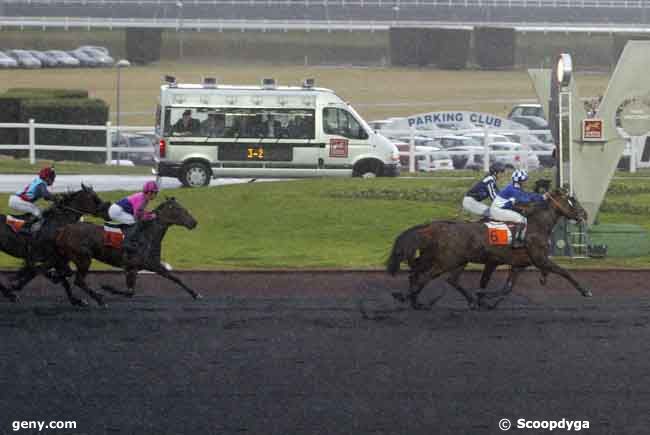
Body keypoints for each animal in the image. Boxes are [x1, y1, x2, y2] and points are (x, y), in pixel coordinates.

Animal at [51, 198, 200, 306]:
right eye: (179, 209)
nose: (194, 223)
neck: (146, 235)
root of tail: (64, 229)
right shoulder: (132, 266)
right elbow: (129, 292)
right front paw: (107, 287)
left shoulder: (152, 265)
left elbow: (175, 278)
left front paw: (196, 294)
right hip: (83, 259)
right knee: (78, 281)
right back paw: (99, 299)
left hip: (66, 257)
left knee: (64, 276)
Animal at [388, 189, 588, 312]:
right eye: (572, 201)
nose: (584, 214)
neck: (536, 225)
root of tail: (433, 226)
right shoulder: (540, 258)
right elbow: (564, 272)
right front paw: (585, 291)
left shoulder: (519, 264)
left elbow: (506, 288)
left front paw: (484, 298)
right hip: (446, 261)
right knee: (424, 277)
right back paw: (408, 297)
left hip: (452, 260)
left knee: (430, 276)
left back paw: (418, 301)